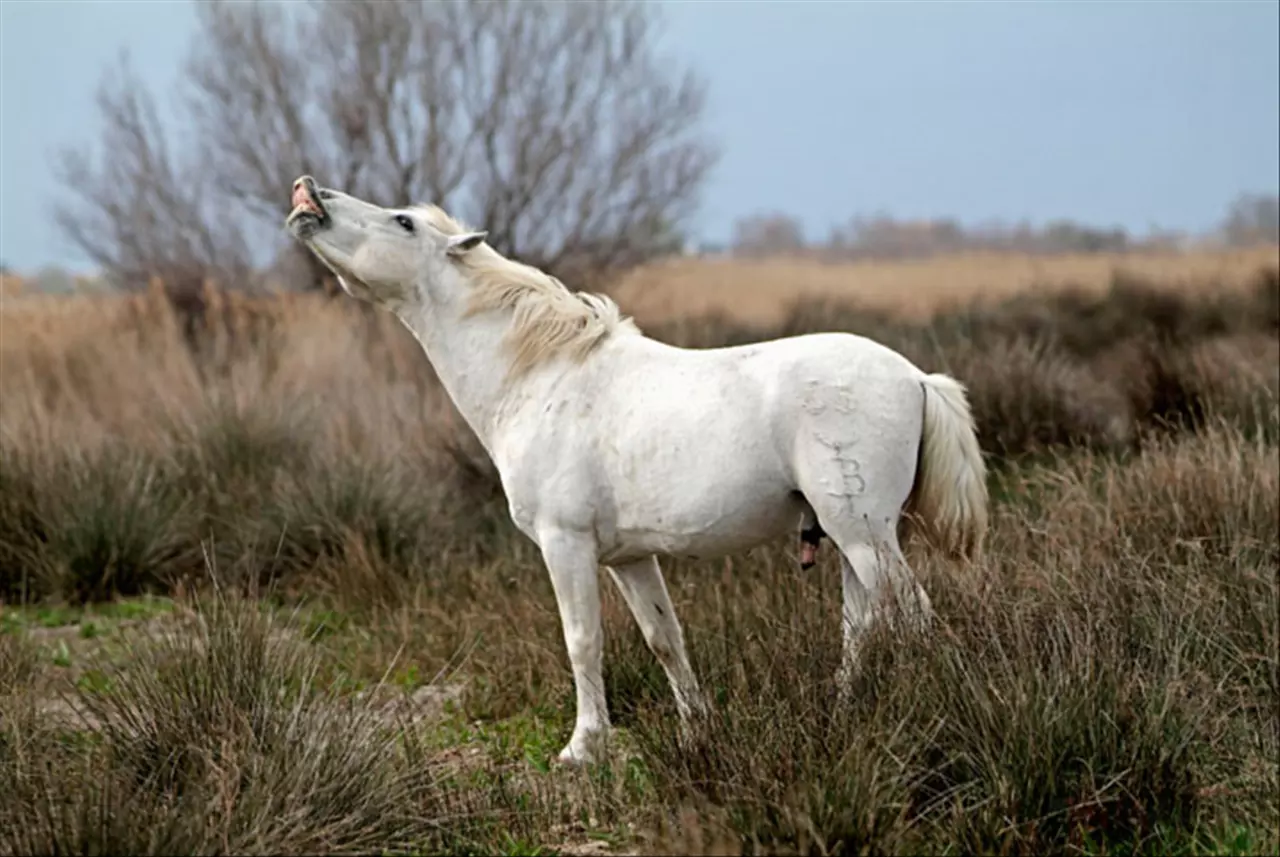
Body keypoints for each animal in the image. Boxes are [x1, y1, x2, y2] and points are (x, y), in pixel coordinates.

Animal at [288, 173, 988, 767]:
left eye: (403, 221)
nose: (309, 195)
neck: (541, 377)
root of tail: (915, 377)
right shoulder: (629, 558)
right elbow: (664, 638)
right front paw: (697, 729)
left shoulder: (566, 546)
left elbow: (582, 639)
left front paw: (582, 748)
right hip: (850, 539)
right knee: (864, 625)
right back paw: (844, 715)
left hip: (863, 534)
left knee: (913, 616)